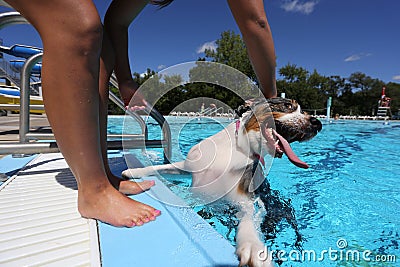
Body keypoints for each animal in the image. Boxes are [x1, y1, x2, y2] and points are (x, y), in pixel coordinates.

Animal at [122, 97, 322, 266]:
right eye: (288, 106)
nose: (317, 123)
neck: (239, 149)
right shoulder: (188, 168)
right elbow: (160, 168)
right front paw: (135, 170)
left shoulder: (247, 199)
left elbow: (249, 219)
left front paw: (253, 247)